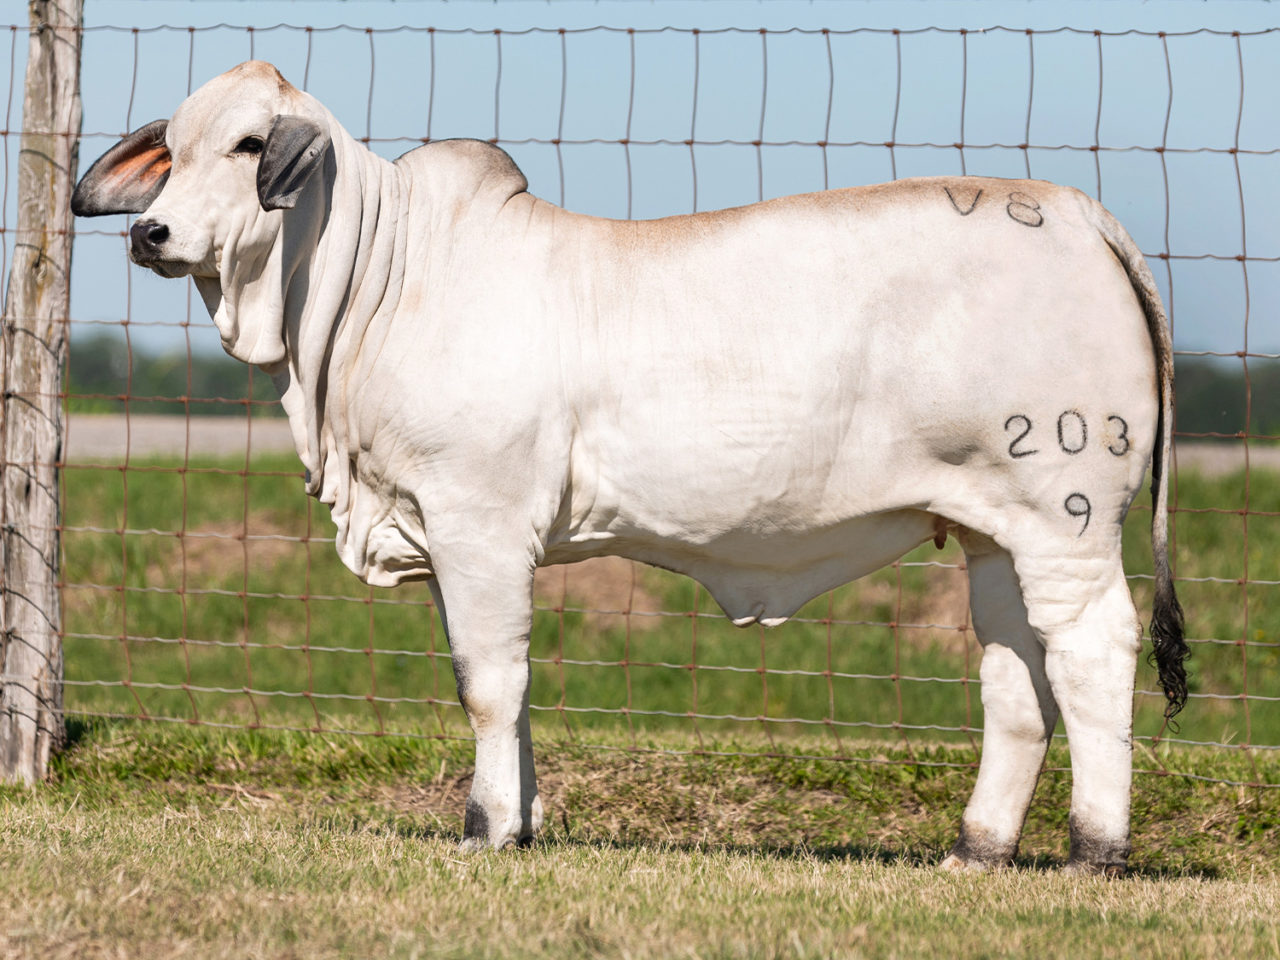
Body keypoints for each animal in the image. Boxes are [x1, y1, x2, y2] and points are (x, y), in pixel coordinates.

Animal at [72, 58, 1187, 870]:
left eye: (249, 143)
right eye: (171, 149)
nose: (149, 231)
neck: (378, 282)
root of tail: (1076, 212)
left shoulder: (478, 519)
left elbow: (487, 683)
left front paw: (484, 830)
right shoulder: (454, 532)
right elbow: (506, 680)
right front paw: (519, 823)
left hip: (1064, 513)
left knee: (1092, 653)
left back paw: (1095, 849)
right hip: (992, 533)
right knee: (1015, 677)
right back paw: (975, 850)